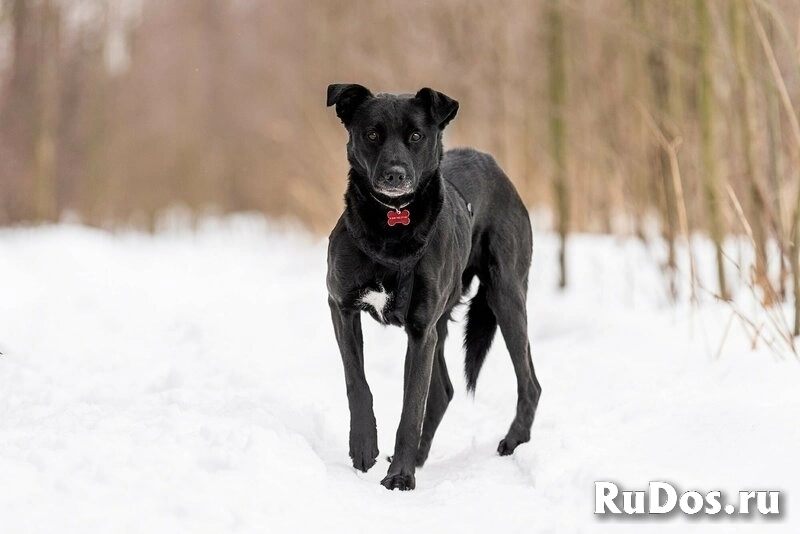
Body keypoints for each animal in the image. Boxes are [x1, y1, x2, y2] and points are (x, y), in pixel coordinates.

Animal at [326, 85, 544, 494]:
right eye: (372, 134)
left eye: (416, 136)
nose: (395, 175)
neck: (391, 229)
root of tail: (492, 164)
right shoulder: (341, 306)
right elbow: (356, 382)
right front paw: (364, 448)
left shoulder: (420, 330)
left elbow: (411, 407)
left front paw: (400, 477)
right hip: (446, 322)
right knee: (443, 391)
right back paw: (421, 456)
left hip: (506, 297)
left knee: (530, 383)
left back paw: (512, 441)